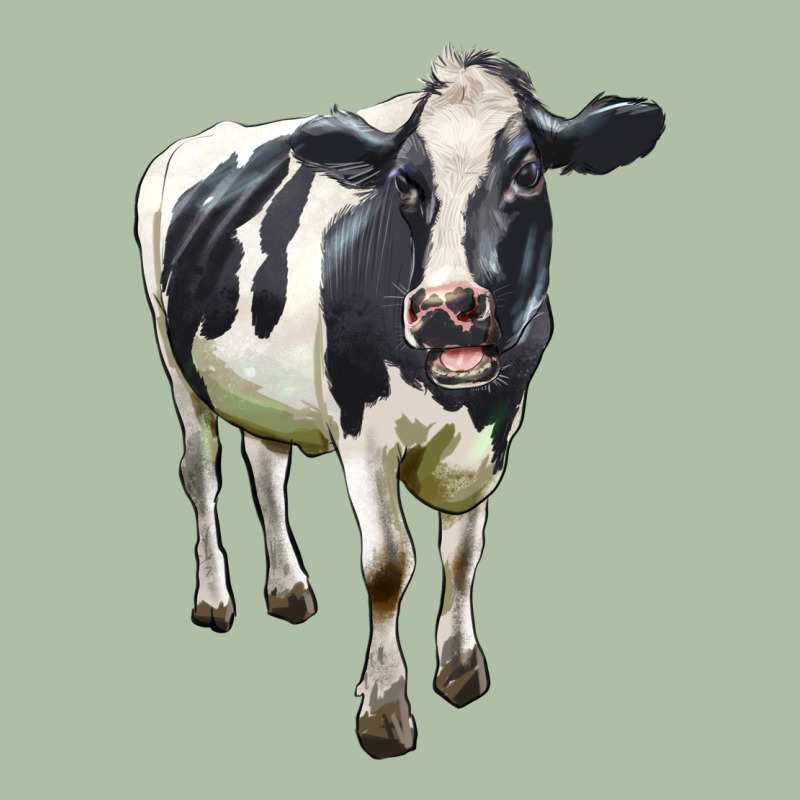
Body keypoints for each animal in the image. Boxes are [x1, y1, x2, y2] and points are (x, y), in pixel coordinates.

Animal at [135, 48, 664, 759]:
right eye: (406, 183)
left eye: (527, 172)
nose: (445, 308)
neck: (460, 404)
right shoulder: (363, 433)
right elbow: (389, 564)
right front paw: (384, 707)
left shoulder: (494, 437)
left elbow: (463, 552)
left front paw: (461, 667)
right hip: (175, 363)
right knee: (201, 475)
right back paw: (215, 598)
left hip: (260, 386)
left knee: (267, 468)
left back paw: (288, 588)